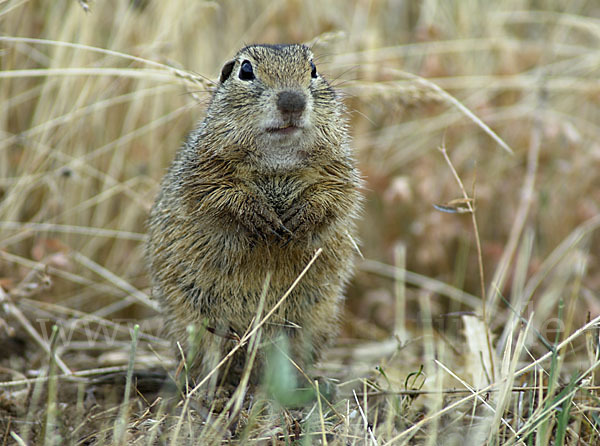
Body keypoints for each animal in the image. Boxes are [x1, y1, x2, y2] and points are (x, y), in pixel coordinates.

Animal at [148, 43, 360, 388]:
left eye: (313, 69)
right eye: (245, 70)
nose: (292, 101)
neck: (278, 161)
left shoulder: (339, 172)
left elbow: (334, 198)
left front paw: (299, 219)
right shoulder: (204, 175)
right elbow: (223, 199)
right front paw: (262, 219)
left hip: (314, 321)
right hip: (195, 320)